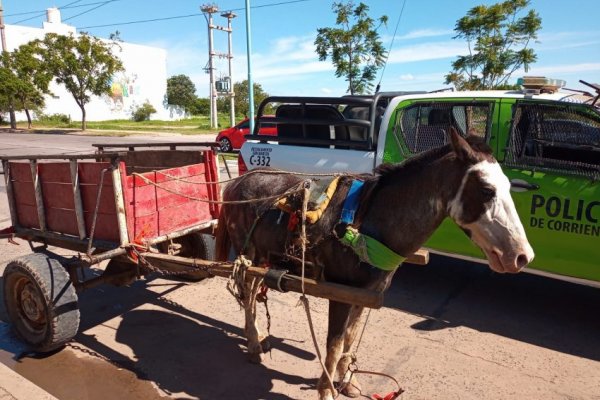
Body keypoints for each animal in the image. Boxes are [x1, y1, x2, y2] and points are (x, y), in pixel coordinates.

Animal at [217, 129, 536, 400]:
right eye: (486, 190)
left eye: (508, 187)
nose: (521, 256)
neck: (366, 222)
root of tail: (236, 182)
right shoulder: (339, 292)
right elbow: (334, 344)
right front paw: (327, 389)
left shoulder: (365, 293)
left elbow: (350, 338)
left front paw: (349, 381)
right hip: (248, 254)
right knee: (248, 295)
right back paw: (254, 344)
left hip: (263, 258)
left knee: (253, 294)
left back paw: (259, 337)